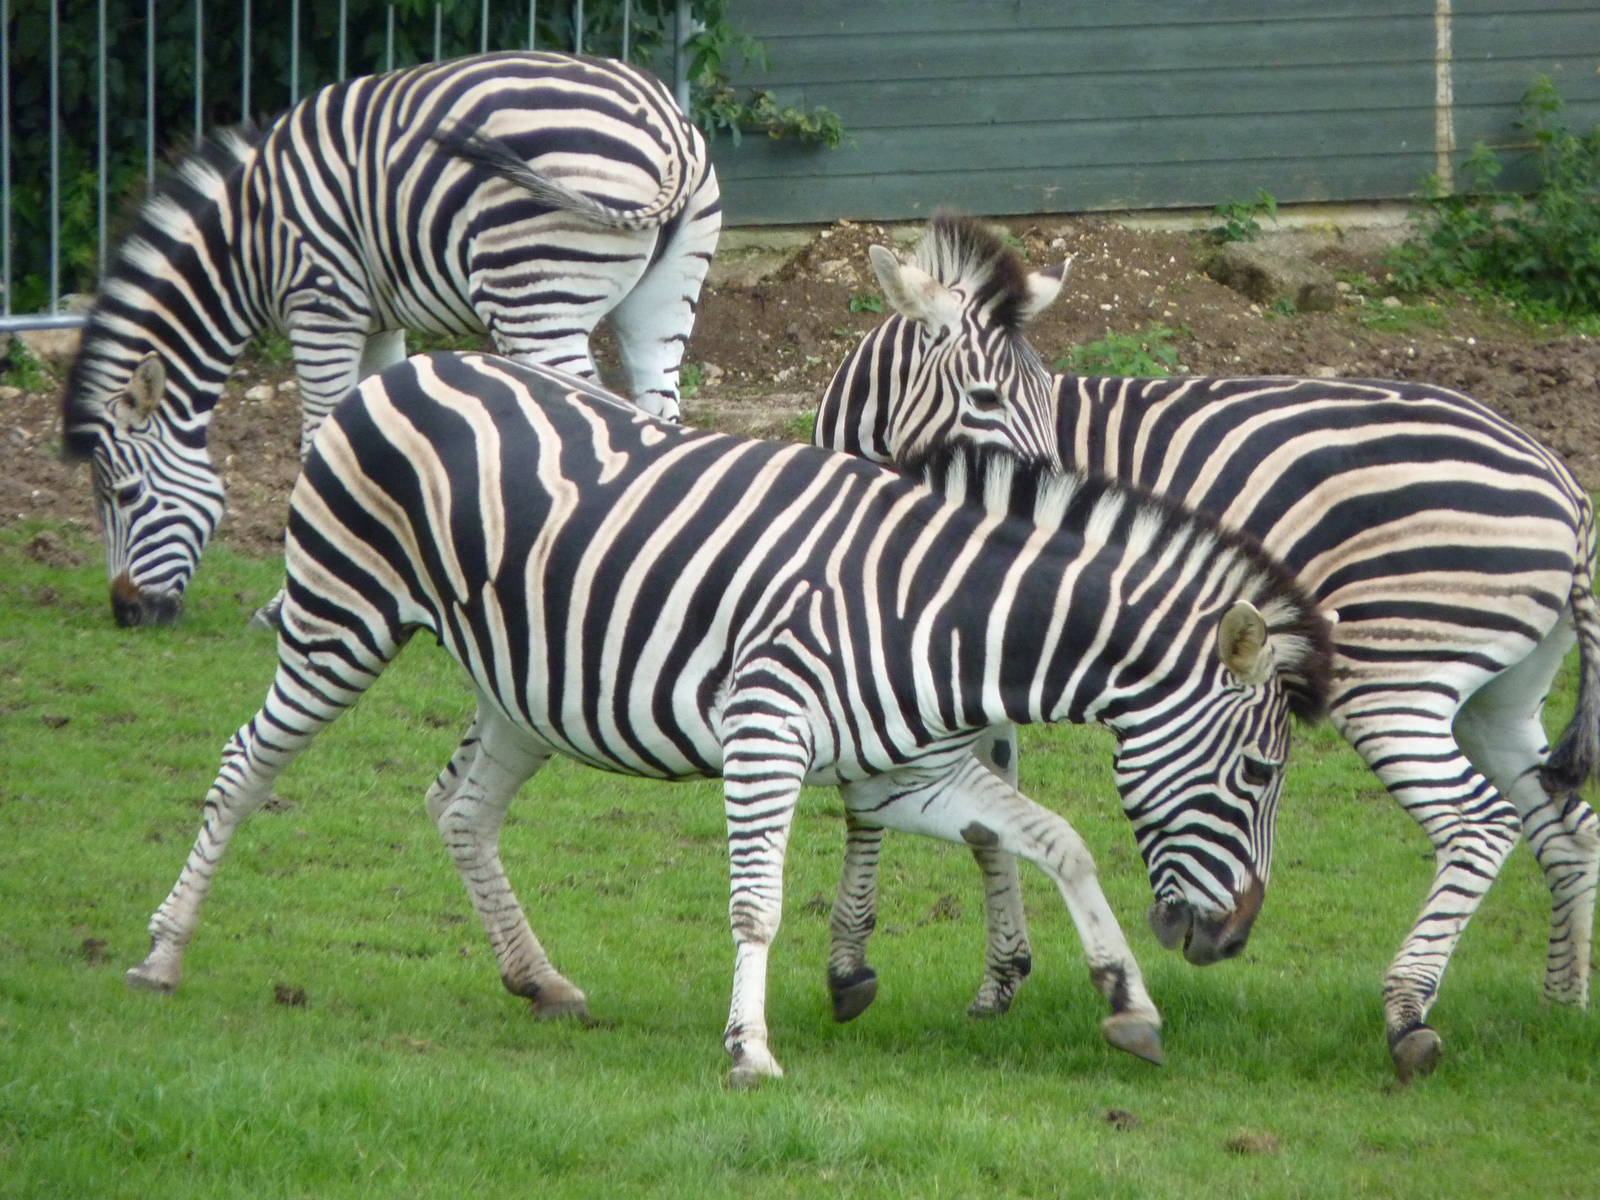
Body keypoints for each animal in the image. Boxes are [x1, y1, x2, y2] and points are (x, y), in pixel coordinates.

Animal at [61, 50, 721, 629]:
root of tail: (666, 125)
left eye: (124, 495)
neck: (242, 241)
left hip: (534, 291)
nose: (128, 615)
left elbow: (317, 440)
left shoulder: (320, 302)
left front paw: (283, 607)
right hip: (663, 299)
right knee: (660, 414)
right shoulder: (376, 319)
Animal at [124, 350, 1330, 1087]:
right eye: (1262, 775)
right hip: (342, 614)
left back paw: (540, 979)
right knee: (243, 765)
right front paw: (750, 1050)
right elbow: (758, 907)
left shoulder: (914, 777)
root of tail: (409, 364)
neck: (936, 605)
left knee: (458, 808)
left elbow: (1059, 839)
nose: (1232, 940)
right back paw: (162, 954)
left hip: (524, 686)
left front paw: (1127, 1002)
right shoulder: (768, 732)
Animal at [812, 223, 1600, 1082]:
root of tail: (1564, 481)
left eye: (1051, 401)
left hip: (1393, 675)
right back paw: (1561, 1006)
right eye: (986, 400)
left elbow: (899, 796)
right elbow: (985, 810)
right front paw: (998, 979)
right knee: (1569, 827)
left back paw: (1408, 1013)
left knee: (1476, 820)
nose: (1043, 515)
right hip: (1501, 699)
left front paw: (852, 968)